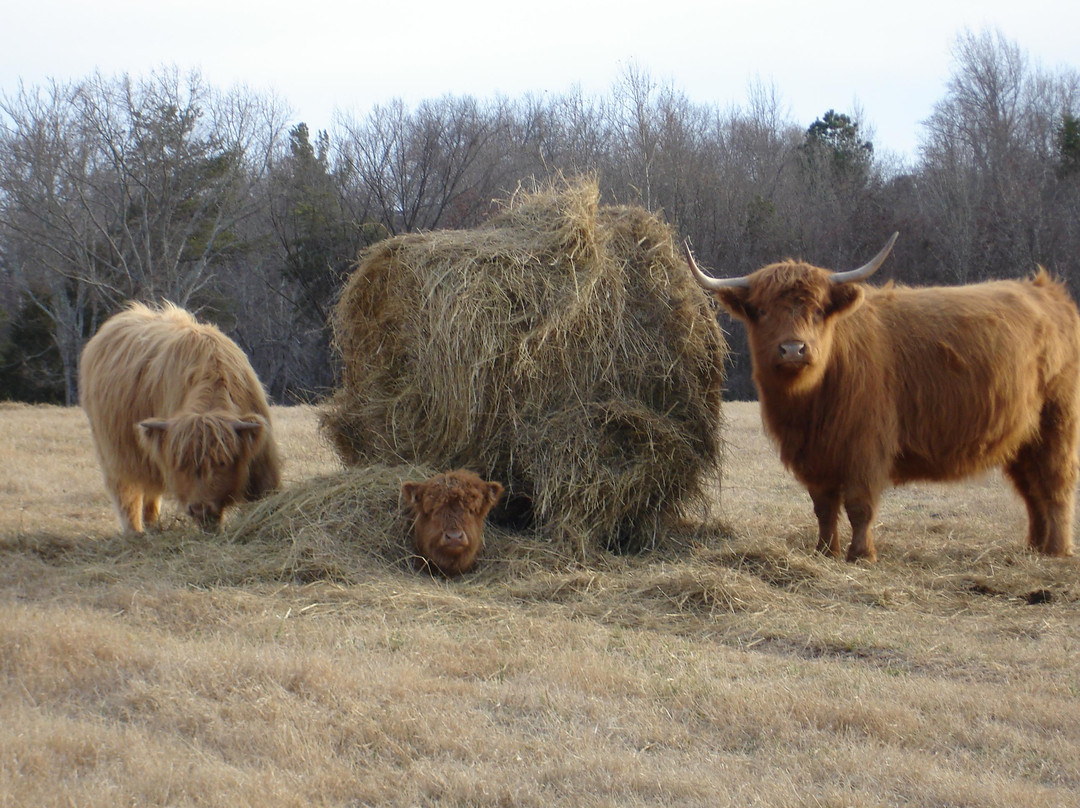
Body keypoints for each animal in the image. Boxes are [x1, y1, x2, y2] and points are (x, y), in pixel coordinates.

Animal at [81, 300, 282, 533]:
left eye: (222, 462)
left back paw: (153, 526)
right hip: (114, 453)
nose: (199, 508)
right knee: (126, 494)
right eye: (180, 463)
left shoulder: (262, 460)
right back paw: (135, 532)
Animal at [686, 233, 1080, 561]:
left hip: (1058, 421)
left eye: (817, 311)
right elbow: (823, 507)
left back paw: (1057, 550)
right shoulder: (815, 455)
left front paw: (861, 555)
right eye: (763, 311)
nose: (793, 349)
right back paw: (1035, 546)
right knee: (1032, 488)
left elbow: (860, 506)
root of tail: (1048, 291)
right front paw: (825, 551)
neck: (809, 402)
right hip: (1022, 436)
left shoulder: (865, 447)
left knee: (1056, 483)